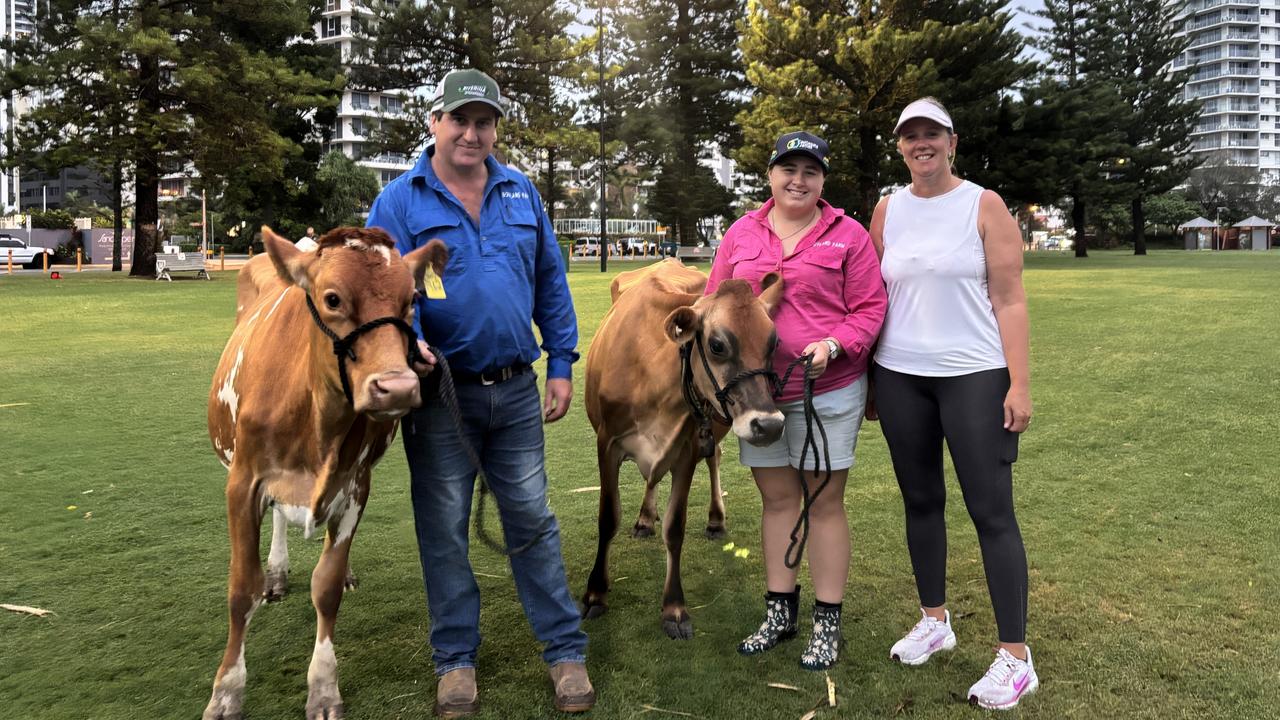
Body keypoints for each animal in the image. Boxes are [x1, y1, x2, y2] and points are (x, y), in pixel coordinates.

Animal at [203, 225, 445, 717]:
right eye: (332, 298)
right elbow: (241, 590)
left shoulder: (354, 486)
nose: (397, 387)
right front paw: (226, 691)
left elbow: (326, 586)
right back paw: (276, 573)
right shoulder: (243, 483)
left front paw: (323, 687)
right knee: (277, 520)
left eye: (410, 300)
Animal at [586, 256, 783, 632]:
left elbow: (675, 528)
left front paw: (674, 607)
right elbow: (607, 518)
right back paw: (645, 519)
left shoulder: (688, 447)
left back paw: (715, 520)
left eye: (773, 344)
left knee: (714, 457)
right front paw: (595, 593)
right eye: (717, 345)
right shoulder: (607, 443)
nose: (769, 425)